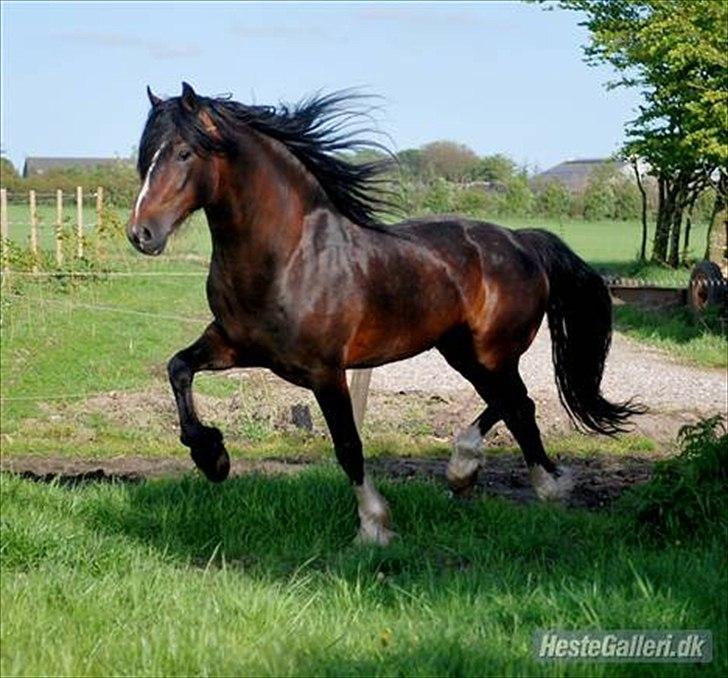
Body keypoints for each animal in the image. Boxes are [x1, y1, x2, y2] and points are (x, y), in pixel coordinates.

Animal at [126, 83, 644, 548]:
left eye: (185, 153)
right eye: (147, 155)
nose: (141, 234)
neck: (289, 256)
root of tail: (522, 241)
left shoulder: (325, 371)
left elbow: (348, 446)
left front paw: (374, 527)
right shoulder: (233, 344)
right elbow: (178, 368)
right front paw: (212, 457)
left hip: (491, 351)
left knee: (518, 403)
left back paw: (539, 484)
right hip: (460, 350)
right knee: (512, 401)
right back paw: (467, 472)